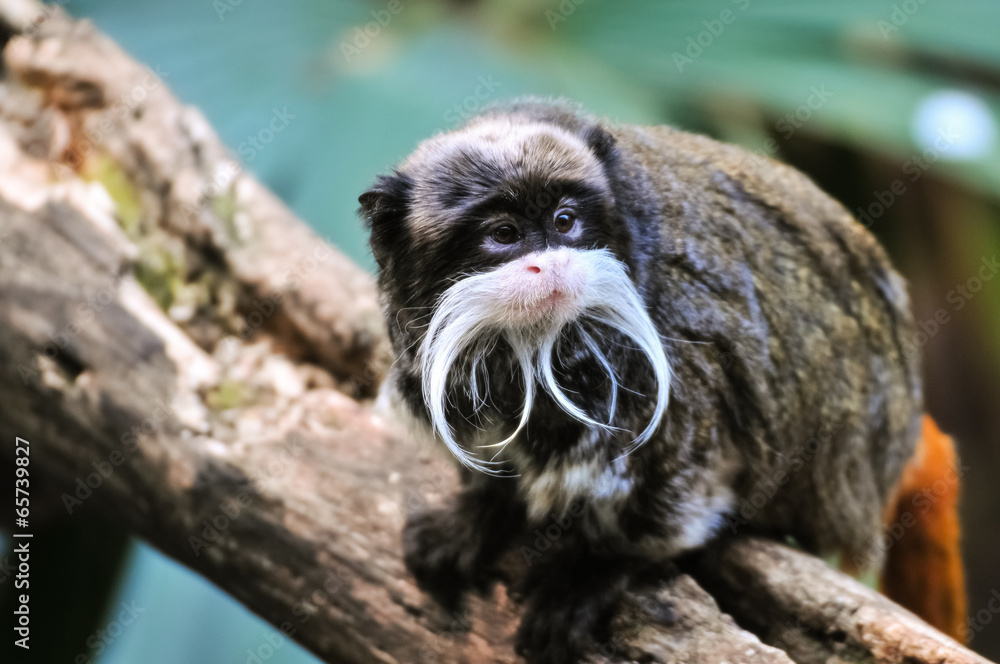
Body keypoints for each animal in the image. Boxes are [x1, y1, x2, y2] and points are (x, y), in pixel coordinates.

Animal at [358, 98, 966, 662]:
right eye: (503, 234)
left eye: (564, 221)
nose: (552, 262)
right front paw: (480, 514)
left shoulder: (676, 342)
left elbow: (681, 477)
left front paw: (593, 571)